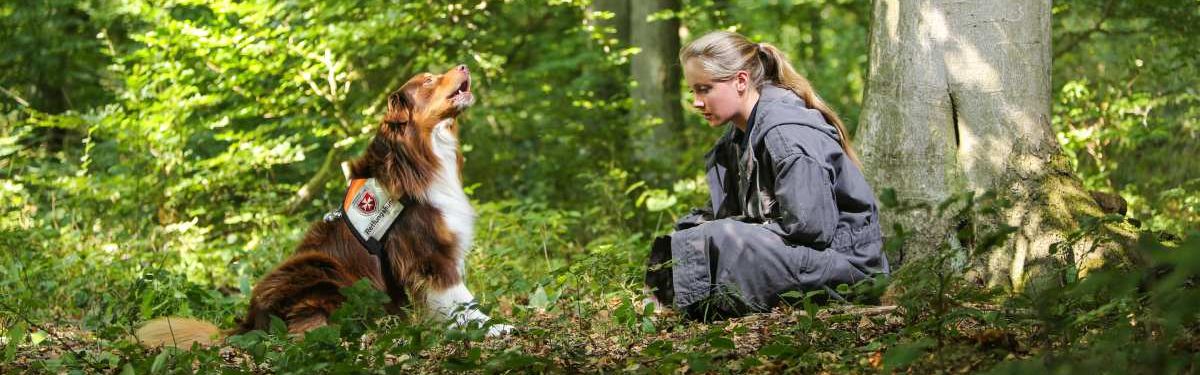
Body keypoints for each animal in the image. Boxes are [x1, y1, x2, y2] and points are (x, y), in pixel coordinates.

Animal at [136, 64, 511, 348]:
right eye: (429, 80)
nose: (464, 65)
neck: (422, 151)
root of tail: (250, 321)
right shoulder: (429, 253)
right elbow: (461, 298)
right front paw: (492, 326)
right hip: (321, 271)